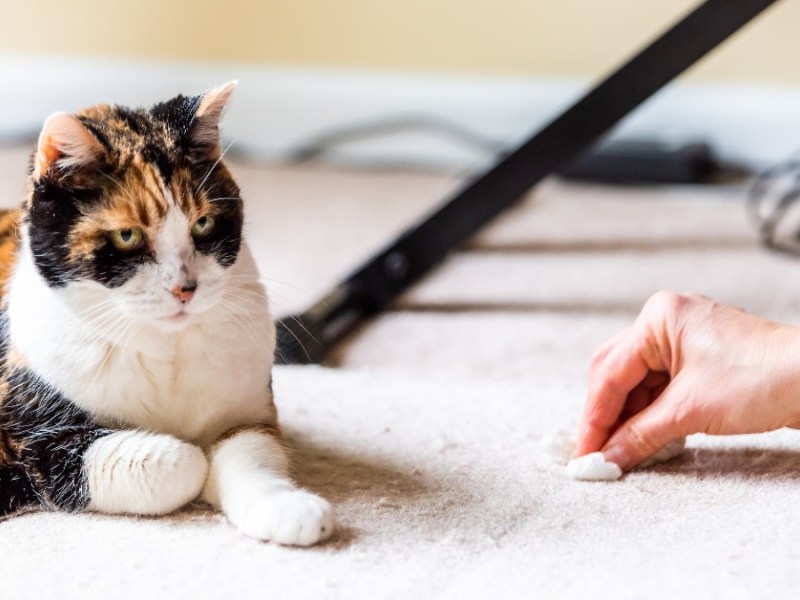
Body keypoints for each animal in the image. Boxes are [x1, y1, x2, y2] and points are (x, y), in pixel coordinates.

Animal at [0, 82, 334, 548]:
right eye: (127, 235)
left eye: (203, 224)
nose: (184, 288)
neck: (164, 349)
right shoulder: (37, 441)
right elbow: (181, 462)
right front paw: (196, 465)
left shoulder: (247, 414)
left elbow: (251, 456)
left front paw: (289, 510)